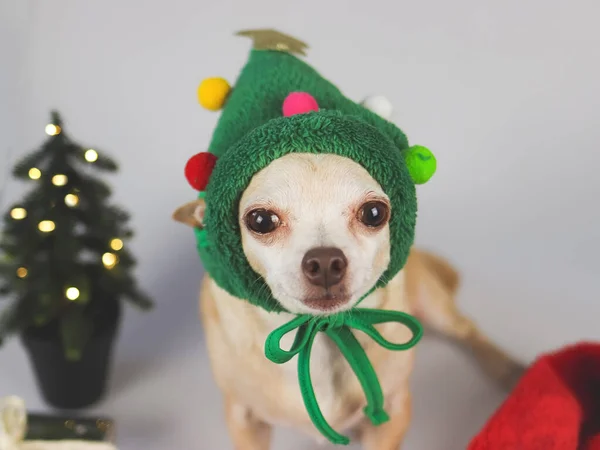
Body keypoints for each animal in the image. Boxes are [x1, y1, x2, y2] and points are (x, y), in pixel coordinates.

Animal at [171, 152, 524, 450]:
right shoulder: (243, 419)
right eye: (260, 221)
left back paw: (508, 369)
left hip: (435, 307)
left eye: (374, 213)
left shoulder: (394, 411)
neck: (318, 335)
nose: (325, 261)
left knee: (468, 330)